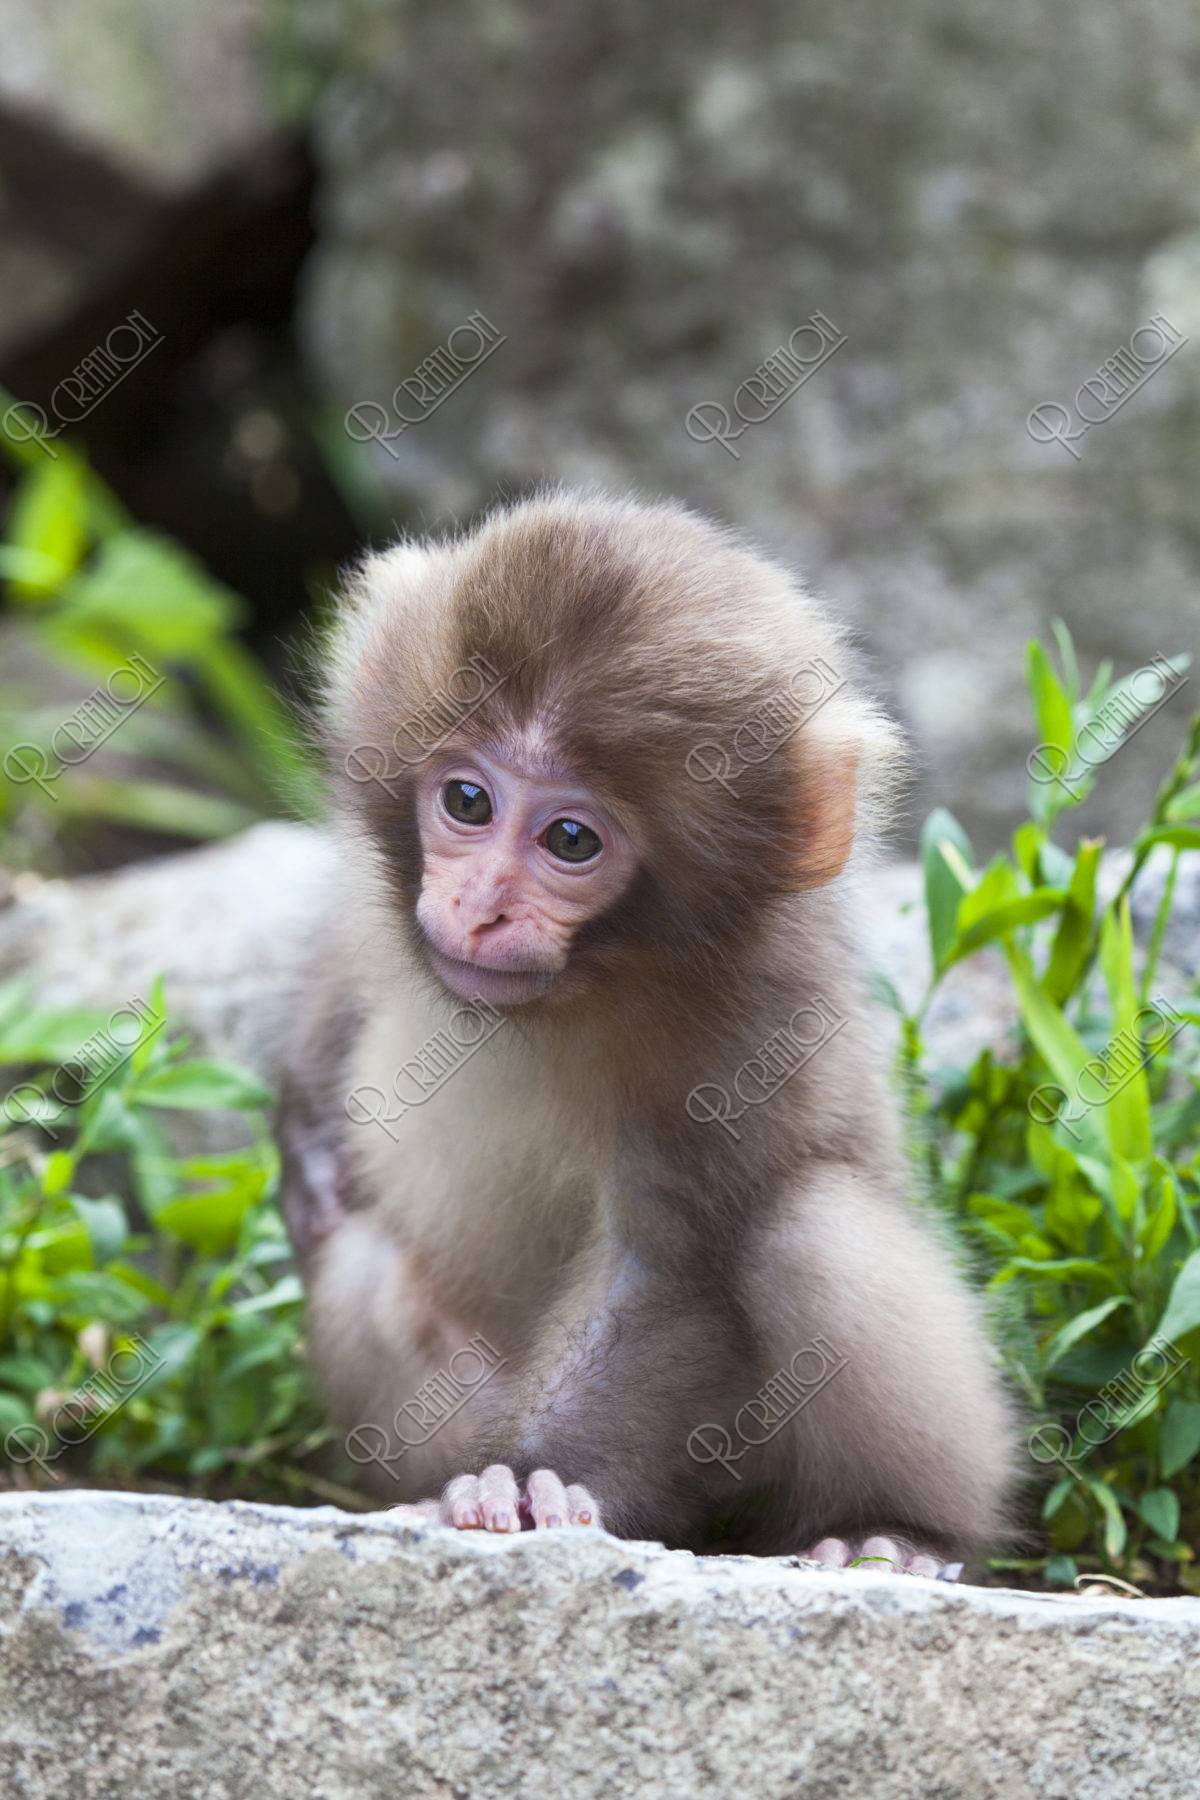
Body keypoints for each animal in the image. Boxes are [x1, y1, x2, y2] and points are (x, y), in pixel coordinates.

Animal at [278, 493, 1014, 1576]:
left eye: (570, 840)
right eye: (467, 800)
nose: (479, 908)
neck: (578, 989)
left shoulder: (751, 1026)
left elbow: (670, 1270)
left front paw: (538, 1479)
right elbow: (333, 997)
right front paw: (306, 1152)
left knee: (814, 1234)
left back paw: (894, 1529)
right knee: (371, 1268)